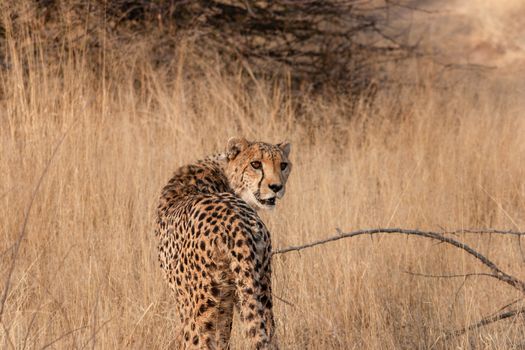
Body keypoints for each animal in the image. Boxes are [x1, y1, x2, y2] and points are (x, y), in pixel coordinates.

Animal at [154, 138, 292, 348]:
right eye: (256, 164)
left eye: (283, 165)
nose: (276, 187)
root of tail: (237, 222)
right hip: (258, 291)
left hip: (205, 306)